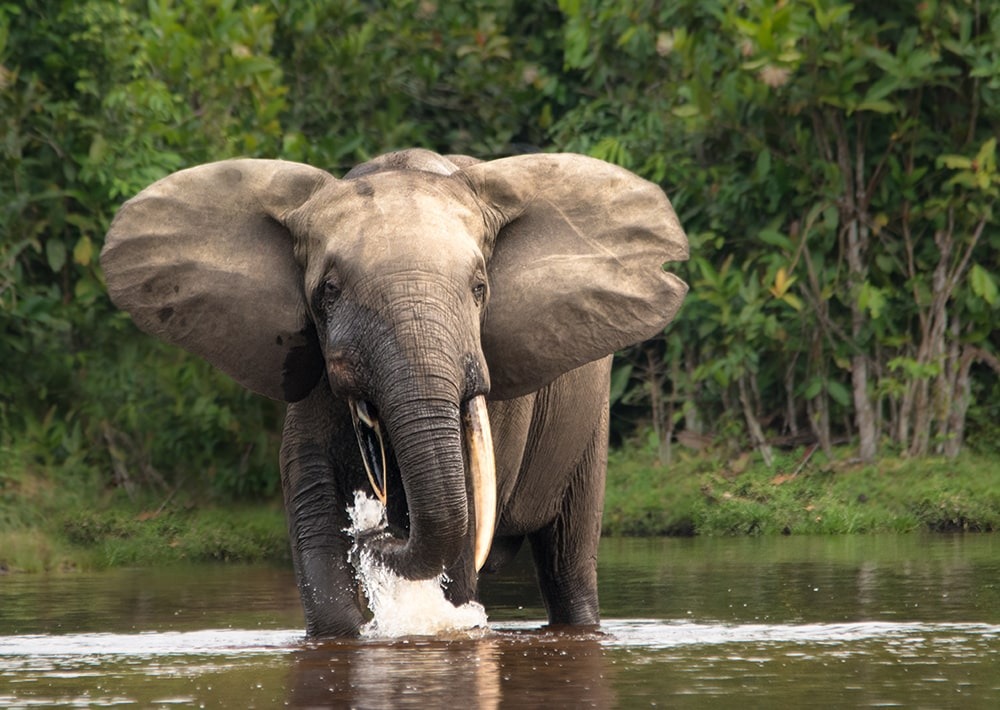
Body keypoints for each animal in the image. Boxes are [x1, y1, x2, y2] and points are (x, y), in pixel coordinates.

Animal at [99, 150, 688, 640]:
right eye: (328, 291)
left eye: (480, 288)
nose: (377, 528)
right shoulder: (314, 373)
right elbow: (313, 510)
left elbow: (464, 528)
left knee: (569, 563)